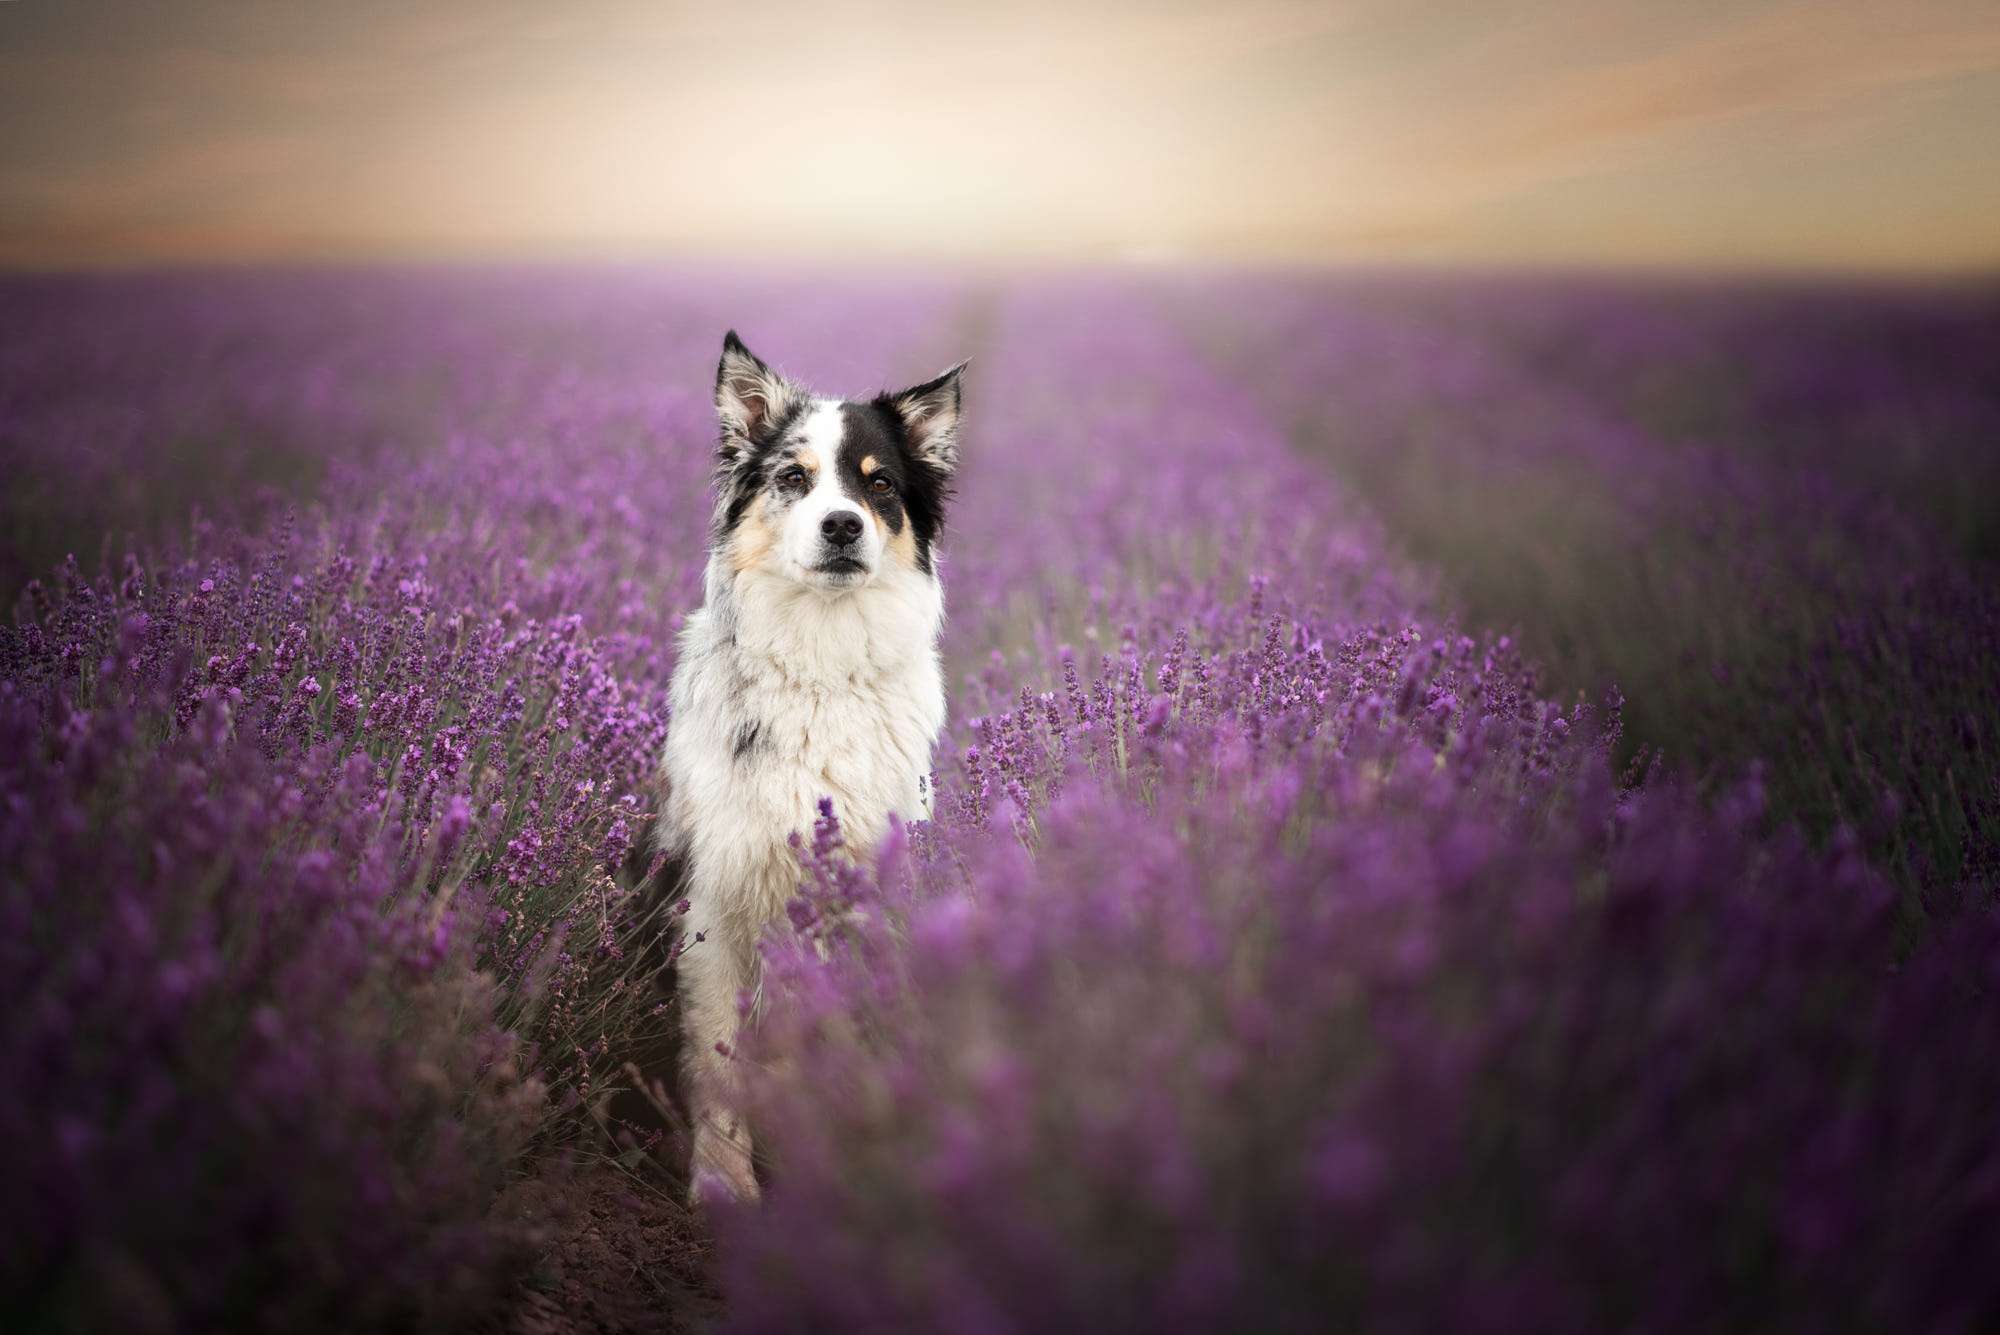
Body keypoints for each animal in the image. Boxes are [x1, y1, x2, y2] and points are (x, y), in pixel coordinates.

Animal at [652, 331, 964, 1199]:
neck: (821, 661)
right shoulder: (718, 900)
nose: (842, 525)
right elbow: (719, 1053)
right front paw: (724, 1184)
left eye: (879, 483)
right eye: (794, 477)